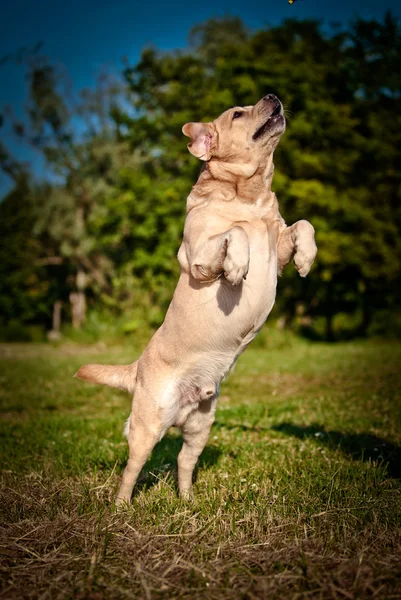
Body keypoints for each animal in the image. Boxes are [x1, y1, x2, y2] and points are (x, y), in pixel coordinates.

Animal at [76, 95, 318, 506]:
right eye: (237, 113)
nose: (273, 96)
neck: (248, 196)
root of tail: (137, 368)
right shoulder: (200, 256)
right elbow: (235, 233)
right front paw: (237, 266)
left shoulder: (278, 249)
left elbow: (303, 225)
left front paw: (307, 258)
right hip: (147, 428)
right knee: (131, 469)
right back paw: (121, 507)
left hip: (201, 428)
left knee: (183, 463)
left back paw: (187, 500)